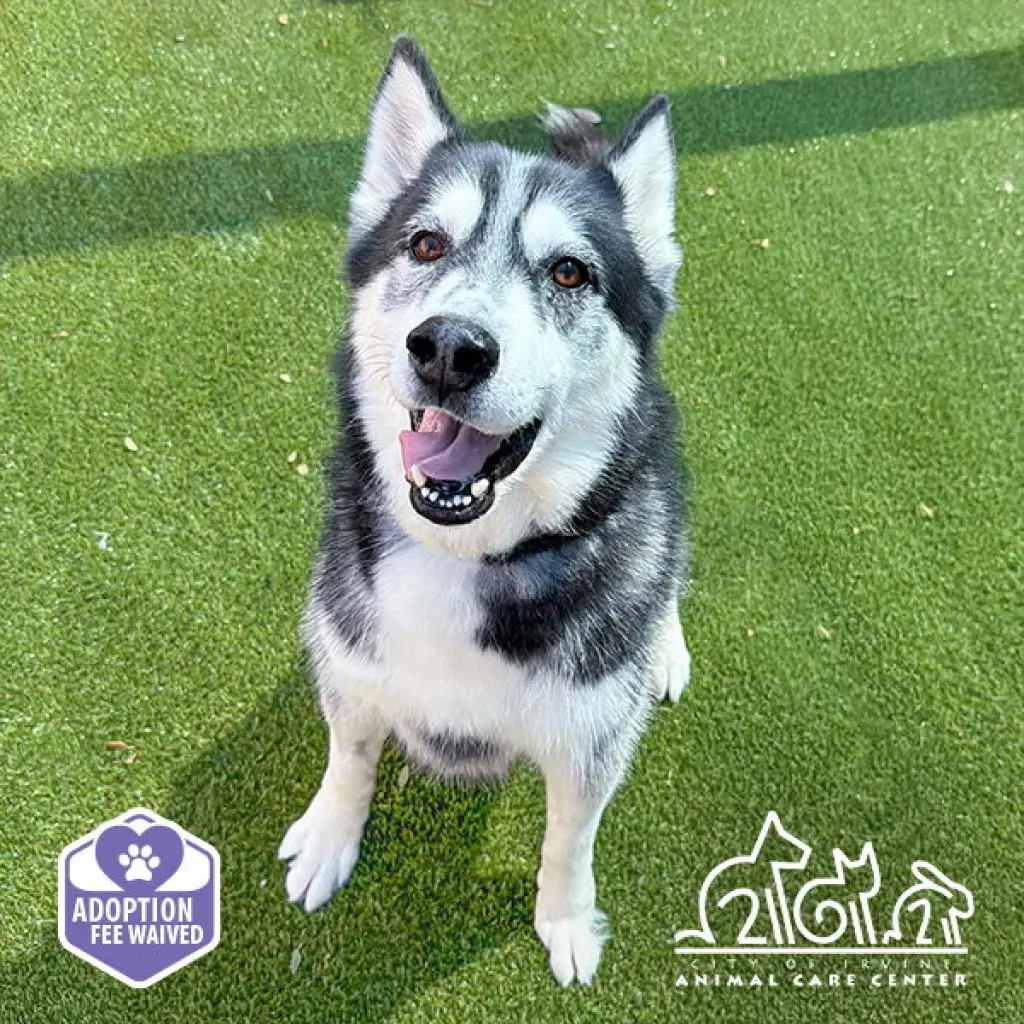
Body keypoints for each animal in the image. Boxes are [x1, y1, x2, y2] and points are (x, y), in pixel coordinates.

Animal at [278, 35, 691, 986]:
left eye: (569, 270)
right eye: (427, 244)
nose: (449, 349)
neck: (463, 559)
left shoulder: (589, 744)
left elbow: (570, 842)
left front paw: (566, 921)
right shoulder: (348, 667)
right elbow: (349, 757)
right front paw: (330, 834)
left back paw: (666, 647)